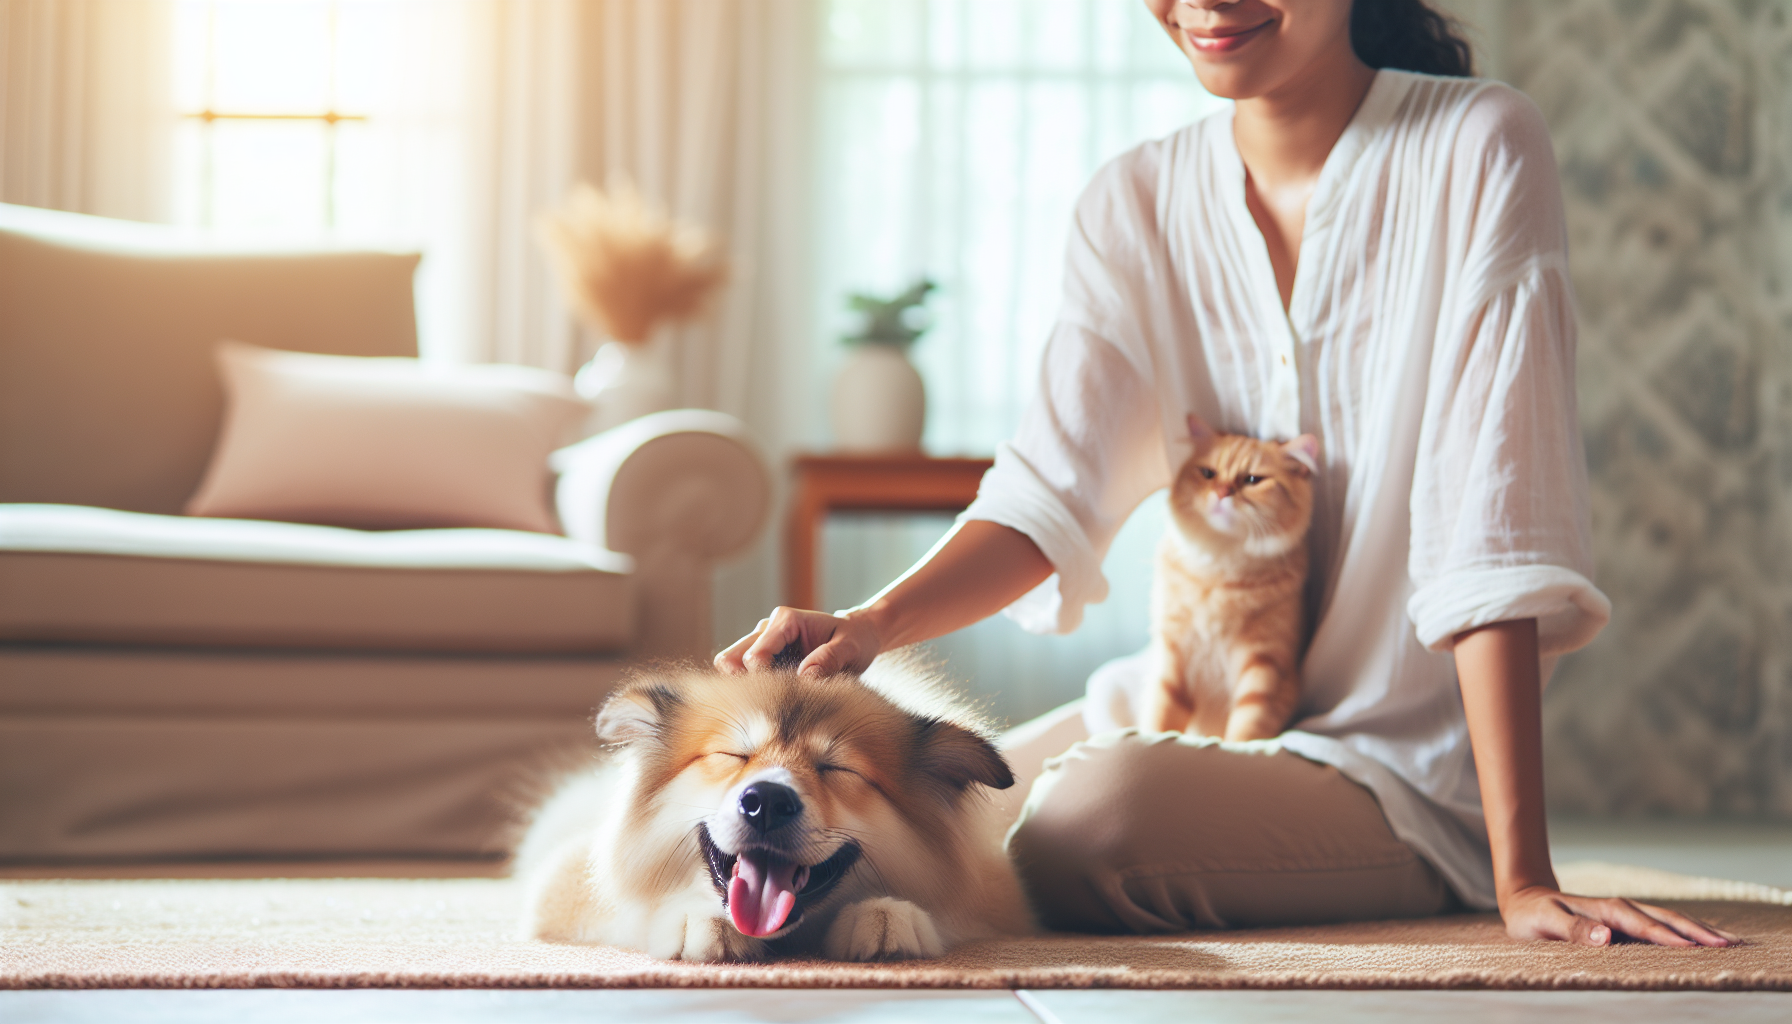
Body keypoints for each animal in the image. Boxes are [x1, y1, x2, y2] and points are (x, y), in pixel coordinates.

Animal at [512, 656, 1039, 961]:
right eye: (734, 755)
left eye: (836, 768)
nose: (766, 801)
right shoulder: (564, 882)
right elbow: (629, 906)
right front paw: (697, 920)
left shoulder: (998, 889)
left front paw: (889, 916)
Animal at [1139, 412, 1326, 742]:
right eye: (1208, 473)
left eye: (1252, 479)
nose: (1222, 492)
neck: (1219, 576)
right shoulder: (1172, 657)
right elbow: (1158, 720)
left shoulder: (1264, 662)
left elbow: (1246, 727)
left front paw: (1235, 748)